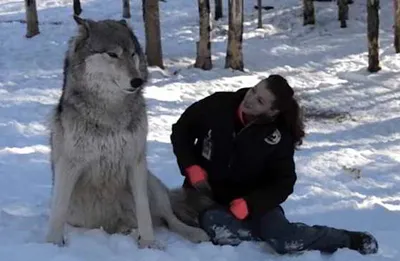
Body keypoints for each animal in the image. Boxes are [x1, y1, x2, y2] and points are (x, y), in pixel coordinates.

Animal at [45, 15, 211, 249]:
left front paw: (148, 244)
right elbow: (58, 209)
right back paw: (128, 232)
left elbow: (144, 210)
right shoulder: (69, 164)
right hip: (80, 214)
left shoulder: (136, 162)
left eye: (132, 54)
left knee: (168, 218)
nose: (137, 81)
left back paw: (192, 233)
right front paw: (52, 243)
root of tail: (113, 225)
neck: (110, 114)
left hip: (152, 184)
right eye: (112, 54)